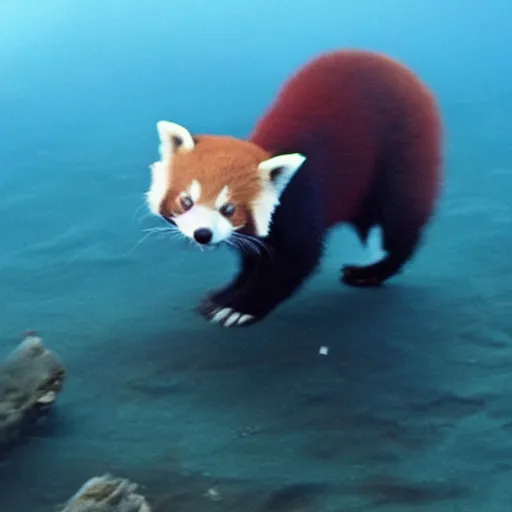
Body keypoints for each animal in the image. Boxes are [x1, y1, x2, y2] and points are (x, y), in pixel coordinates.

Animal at [146, 49, 442, 328]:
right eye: (186, 201)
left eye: (229, 208)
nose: (202, 234)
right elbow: (254, 254)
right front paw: (226, 294)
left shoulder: (302, 198)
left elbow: (298, 256)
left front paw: (240, 306)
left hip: (403, 160)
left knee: (399, 224)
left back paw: (371, 271)